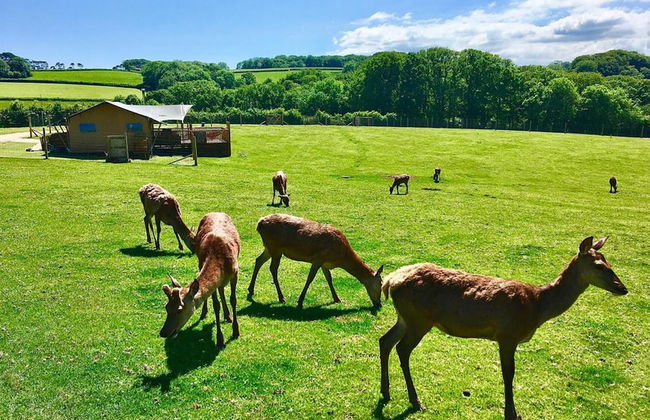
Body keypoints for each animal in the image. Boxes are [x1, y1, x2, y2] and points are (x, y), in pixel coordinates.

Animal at [160, 212, 241, 348]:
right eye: (166, 307)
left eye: (179, 310)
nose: (163, 332)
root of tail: (216, 212)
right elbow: (216, 305)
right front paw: (220, 339)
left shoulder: (235, 271)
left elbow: (233, 299)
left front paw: (236, 331)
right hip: (199, 263)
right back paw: (205, 313)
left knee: (221, 289)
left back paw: (228, 316)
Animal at [247, 213, 384, 309]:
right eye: (381, 283)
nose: (379, 304)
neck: (341, 258)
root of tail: (259, 223)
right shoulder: (319, 258)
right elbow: (310, 278)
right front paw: (300, 301)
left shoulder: (325, 263)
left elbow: (329, 279)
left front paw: (336, 298)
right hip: (275, 248)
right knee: (273, 269)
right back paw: (281, 297)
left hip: (269, 248)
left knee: (258, 260)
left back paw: (251, 290)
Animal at [379, 236, 627, 420]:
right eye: (598, 265)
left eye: (610, 263)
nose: (622, 288)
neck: (538, 306)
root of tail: (390, 281)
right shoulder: (508, 335)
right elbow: (509, 373)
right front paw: (511, 413)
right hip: (419, 320)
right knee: (402, 349)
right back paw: (415, 401)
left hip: (406, 318)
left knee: (385, 341)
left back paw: (386, 391)